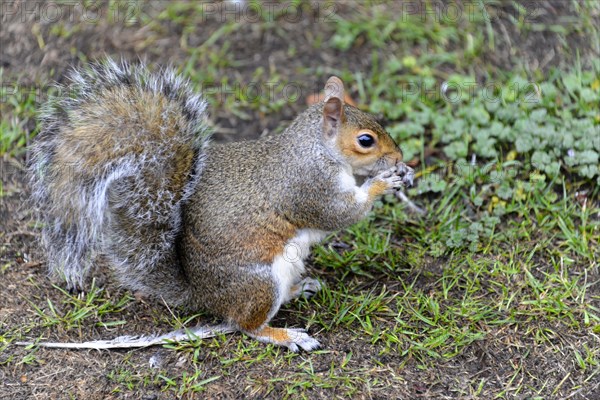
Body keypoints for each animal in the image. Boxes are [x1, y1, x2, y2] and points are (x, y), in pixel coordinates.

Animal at [25, 57, 414, 352]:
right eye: (366, 140)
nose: (398, 157)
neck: (316, 148)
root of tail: (202, 295)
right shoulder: (309, 186)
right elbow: (340, 214)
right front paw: (383, 182)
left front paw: (403, 173)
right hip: (258, 283)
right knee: (246, 325)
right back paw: (285, 335)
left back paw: (299, 289)